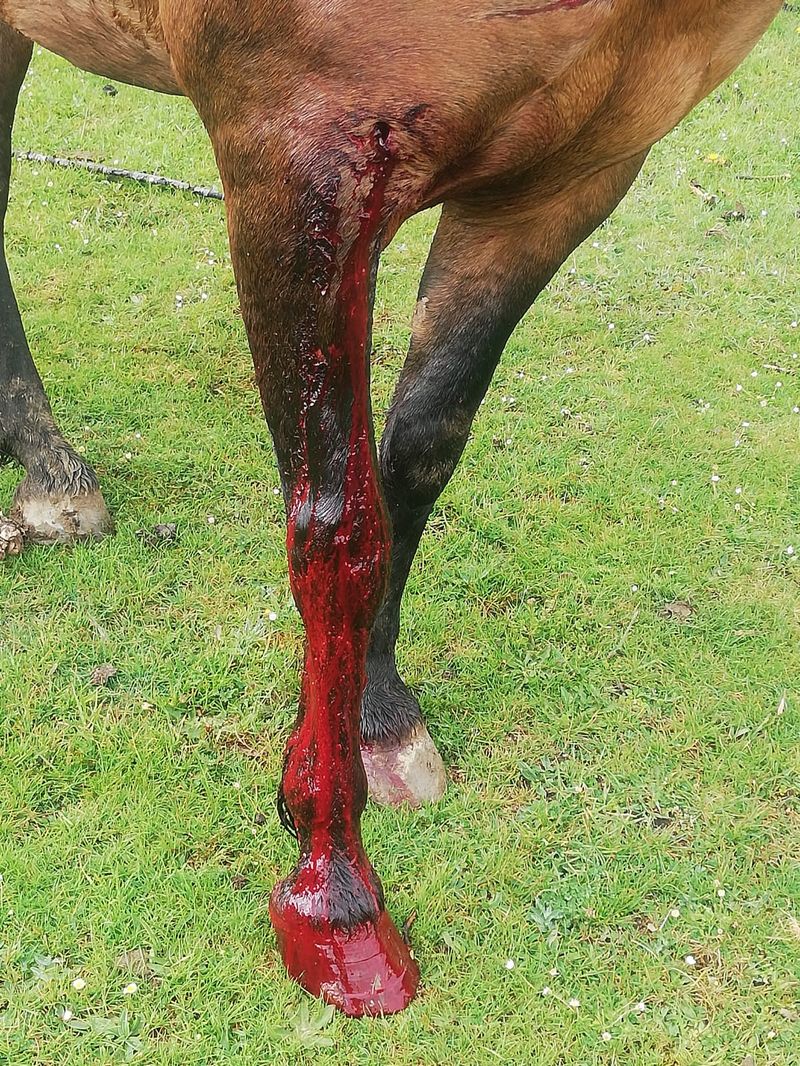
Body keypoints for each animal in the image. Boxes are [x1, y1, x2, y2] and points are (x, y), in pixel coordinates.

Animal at [0, 0, 784, 1015]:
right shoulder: (301, 167)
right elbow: (336, 530)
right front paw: (334, 903)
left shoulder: (565, 182)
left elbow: (420, 449)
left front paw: (378, 719)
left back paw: (48, 467)